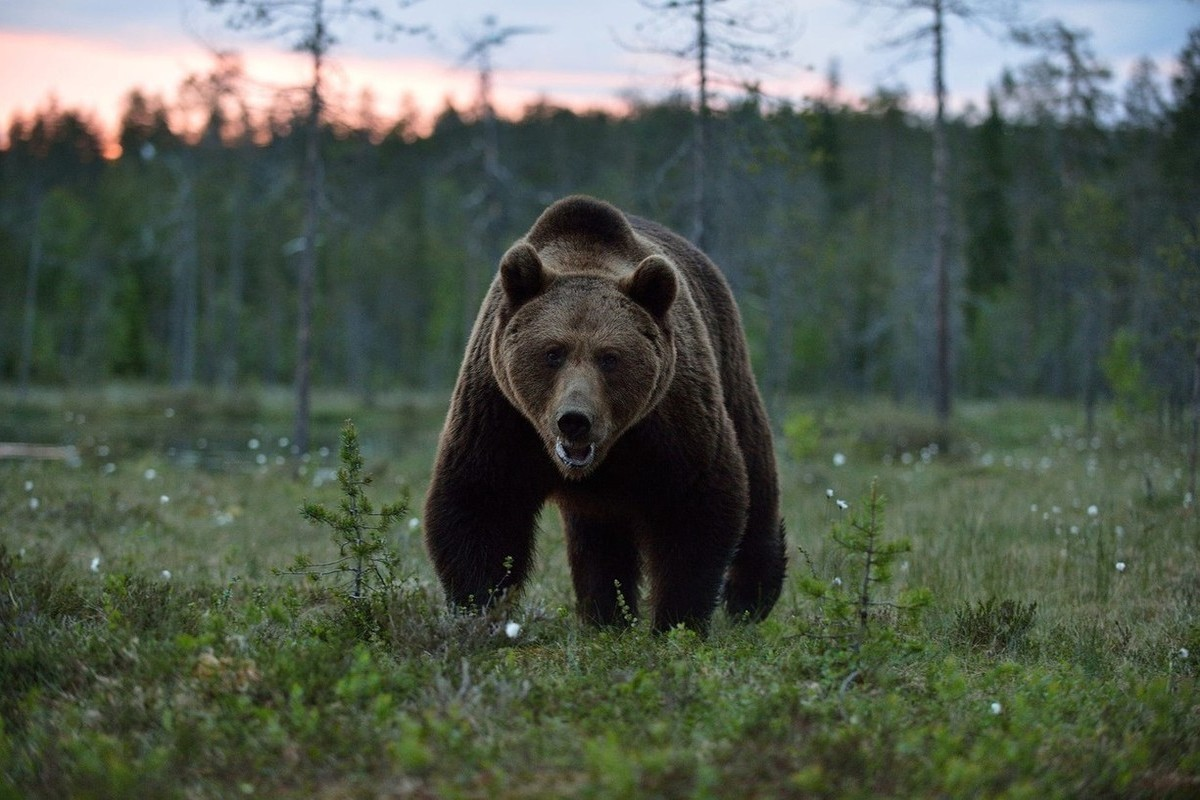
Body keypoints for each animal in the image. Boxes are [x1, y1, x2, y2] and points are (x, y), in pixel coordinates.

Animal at [422, 194, 787, 633]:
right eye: (553, 352)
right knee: (599, 539)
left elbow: (698, 505)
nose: (574, 419)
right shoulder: (501, 415)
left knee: (756, 470)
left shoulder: (671, 420)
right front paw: (480, 612)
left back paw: (751, 596)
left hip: (728, 361)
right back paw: (604, 614)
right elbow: (482, 504)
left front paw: (677, 621)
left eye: (610, 357)